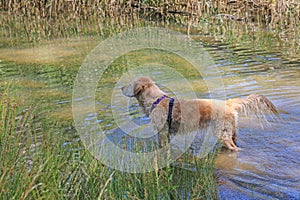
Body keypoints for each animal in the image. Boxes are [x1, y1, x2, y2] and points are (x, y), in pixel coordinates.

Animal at [121, 76, 278, 150]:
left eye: (130, 84)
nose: (121, 87)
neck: (156, 100)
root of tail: (228, 104)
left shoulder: (162, 131)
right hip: (232, 132)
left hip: (222, 133)